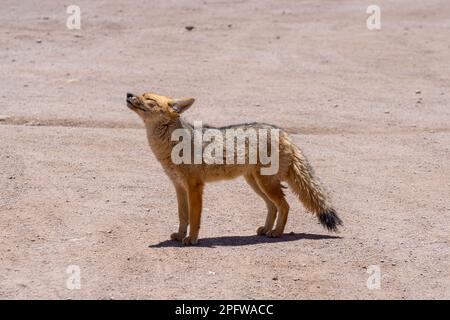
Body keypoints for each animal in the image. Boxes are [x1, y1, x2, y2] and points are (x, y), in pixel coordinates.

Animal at [125, 91, 342, 246]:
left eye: (148, 98)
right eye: (141, 94)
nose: (128, 94)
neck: (171, 144)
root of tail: (282, 131)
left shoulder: (195, 187)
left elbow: (194, 217)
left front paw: (192, 239)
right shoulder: (179, 187)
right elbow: (182, 215)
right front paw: (179, 235)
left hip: (266, 184)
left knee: (285, 206)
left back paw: (277, 233)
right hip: (256, 184)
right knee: (273, 206)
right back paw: (266, 230)